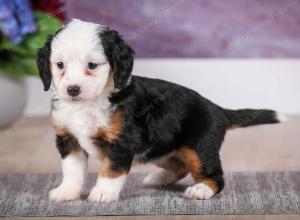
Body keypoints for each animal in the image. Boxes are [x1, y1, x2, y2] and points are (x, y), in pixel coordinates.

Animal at [36, 19, 288, 202]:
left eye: (92, 65)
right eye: (60, 65)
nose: (72, 89)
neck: (88, 103)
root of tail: (218, 109)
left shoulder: (122, 142)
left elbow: (111, 170)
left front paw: (103, 192)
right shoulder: (69, 140)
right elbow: (72, 171)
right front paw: (66, 192)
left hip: (199, 148)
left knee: (215, 176)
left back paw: (201, 190)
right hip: (162, 149)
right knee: (179, 166)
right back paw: (159, 177)